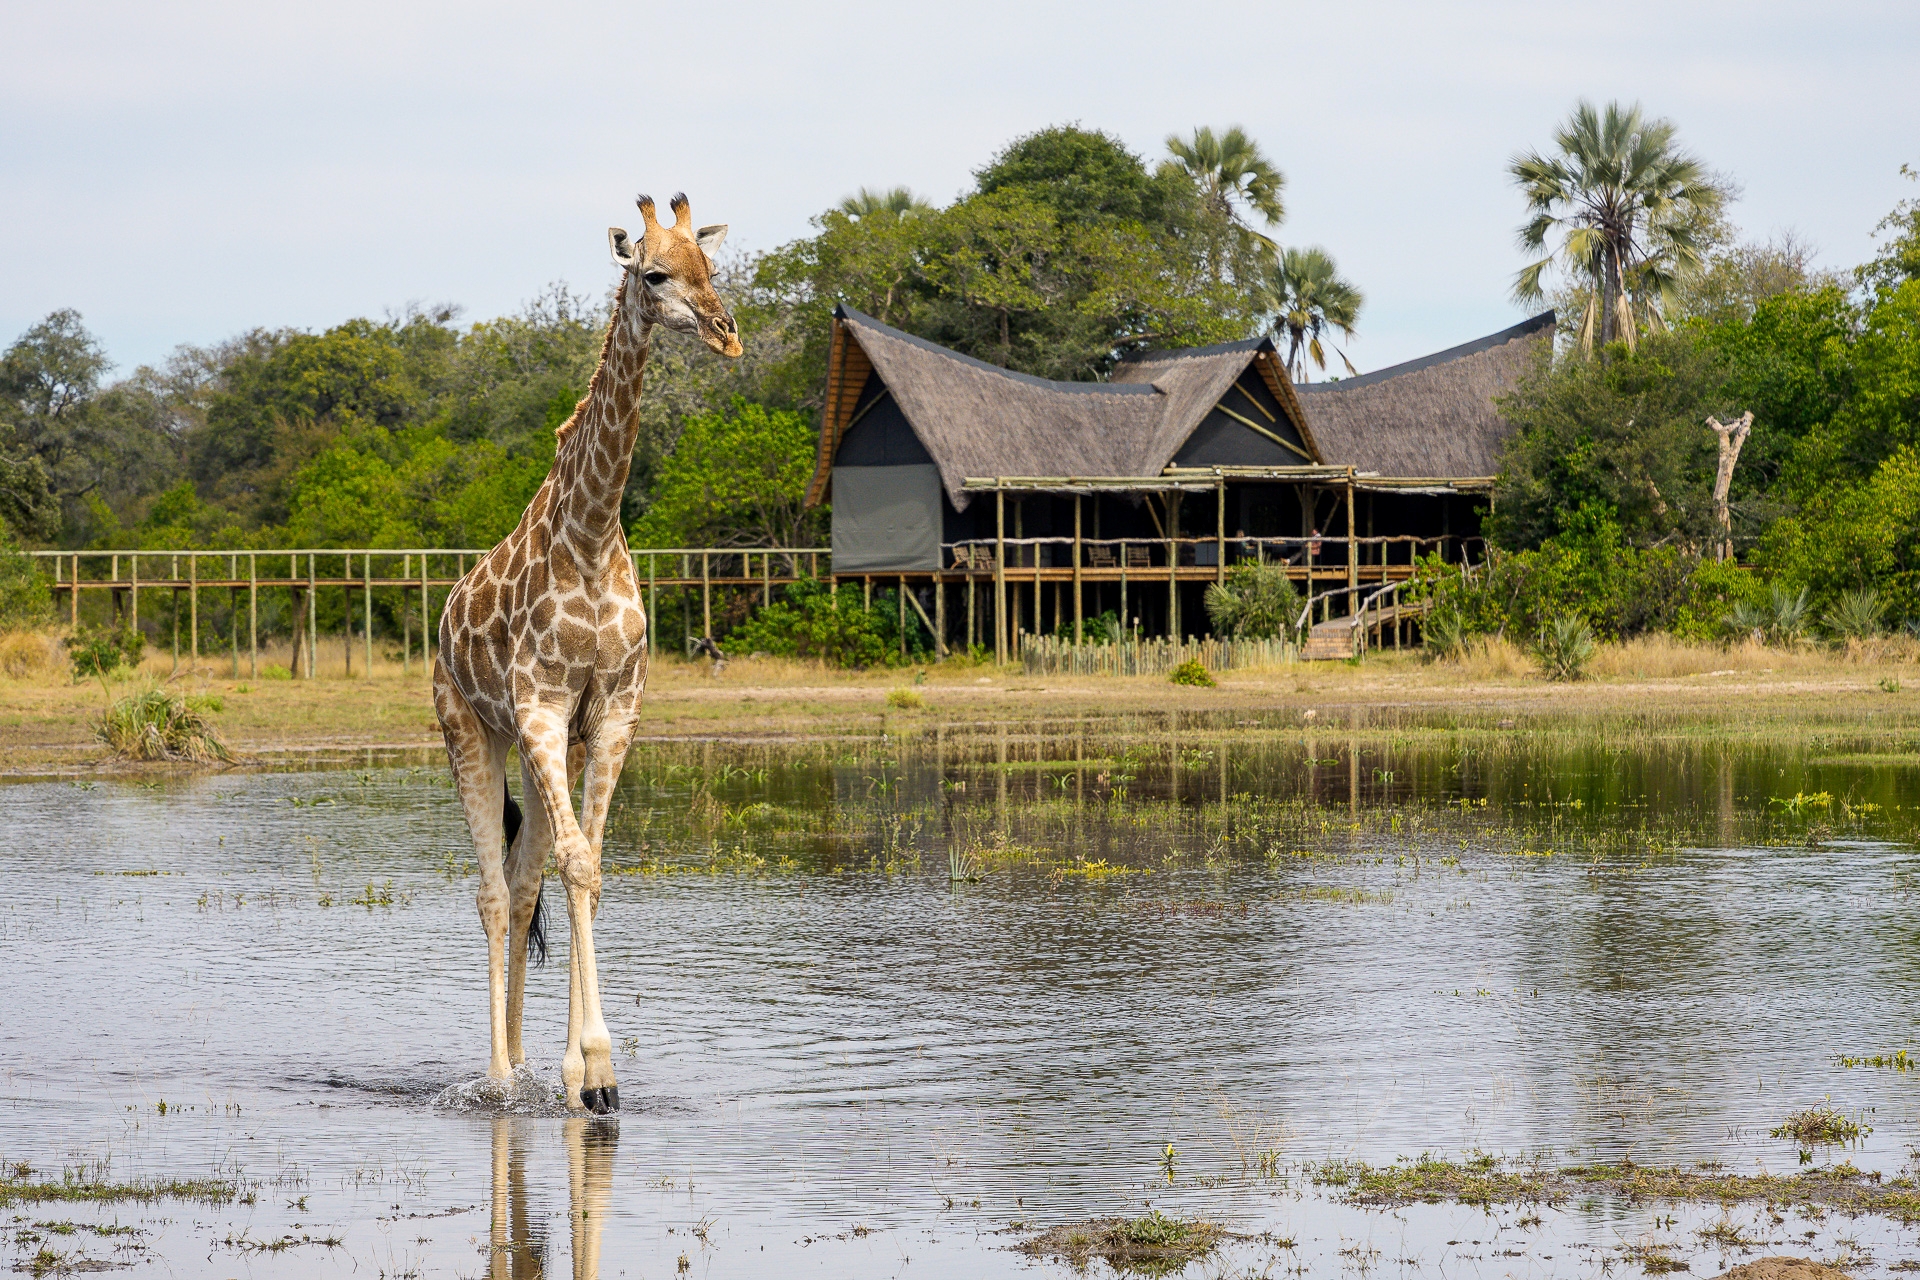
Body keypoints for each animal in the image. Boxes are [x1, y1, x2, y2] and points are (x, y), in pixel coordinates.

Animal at [434, 192, 741, 1114]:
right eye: (655, 273)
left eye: (713, 266)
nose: (725, 333)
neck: (596, 531)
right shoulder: (538, 703)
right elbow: (575, 863)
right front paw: (595, 1066)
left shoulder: (611, 710)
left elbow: (590, 867)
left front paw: (585, 1077)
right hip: (471, 729)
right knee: (492, 891)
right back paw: (499, 1077)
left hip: (544, 751)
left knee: (525, 878)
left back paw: (525, 1064)